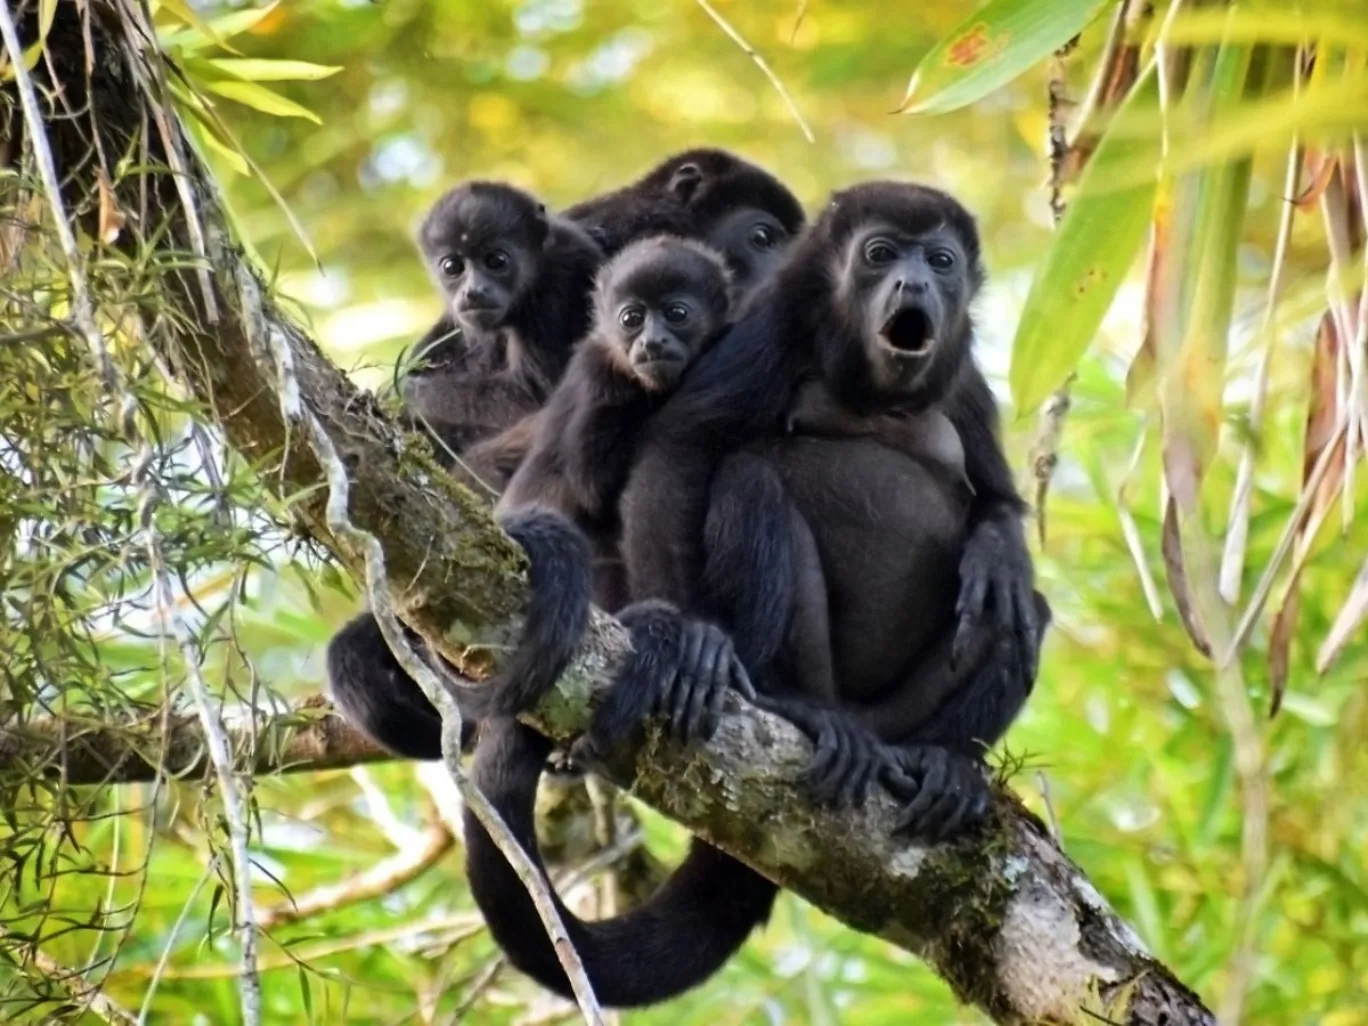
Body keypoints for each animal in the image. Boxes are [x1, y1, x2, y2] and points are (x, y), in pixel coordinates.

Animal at [457, 182, 1050, 1008]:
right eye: (878, 254)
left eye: (940, 261)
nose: (913, 284)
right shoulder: (770, 330)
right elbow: (680, 451)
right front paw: (692, 639)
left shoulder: (963, 376)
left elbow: (995, 499)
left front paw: (998, 554)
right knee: (749, 479)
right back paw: (792, 703)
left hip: (903, 713)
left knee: (1022, 617)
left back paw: (939, 763)